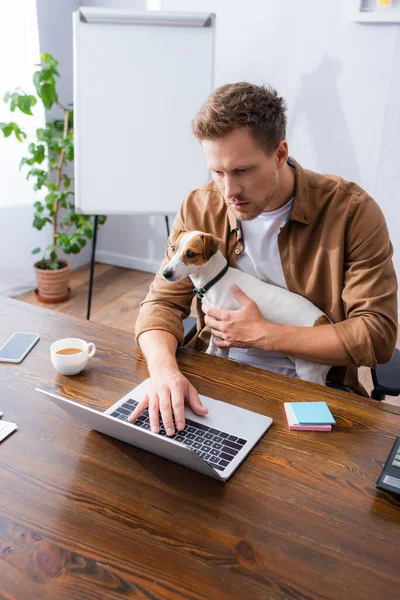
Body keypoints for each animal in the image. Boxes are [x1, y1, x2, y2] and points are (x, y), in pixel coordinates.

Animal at [162, 230, 332, 384]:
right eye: (173, 248)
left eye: (191, 254)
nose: (165, 273)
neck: (215, 279)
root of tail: (324, 321)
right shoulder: (216, 324)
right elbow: (212, 343)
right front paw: (208, 353)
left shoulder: (225, 331)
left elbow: (221, 353)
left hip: (308, 370)